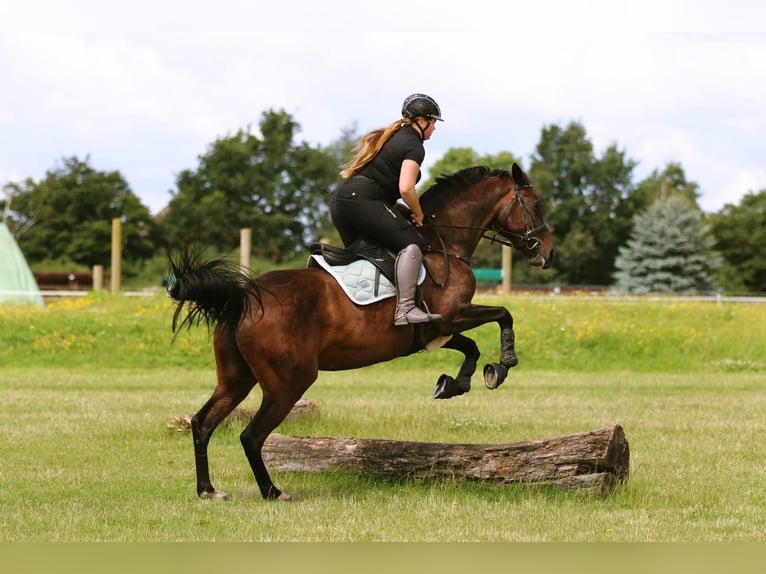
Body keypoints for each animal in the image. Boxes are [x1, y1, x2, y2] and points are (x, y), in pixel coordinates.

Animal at [167, 162, 554, 501]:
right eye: (535, 204)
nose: (548, 254)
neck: (444, 243)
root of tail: (244, 298)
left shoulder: (434, 329)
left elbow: (470, 346)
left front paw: (455, 383)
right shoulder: (451, 317)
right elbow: (503, 315)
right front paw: (504, 363)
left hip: (236, 378)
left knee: (202, 423)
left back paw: (208, 490)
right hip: (288, 383)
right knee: (251, 435)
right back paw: (273, 492)